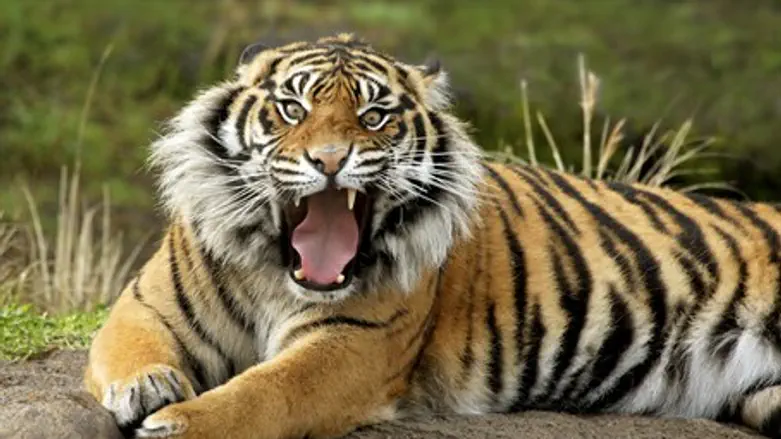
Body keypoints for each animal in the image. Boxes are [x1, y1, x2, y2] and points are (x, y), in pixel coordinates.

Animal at [84, 33, 781, 439]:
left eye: (373, 116)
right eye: (292, 109)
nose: (330, 160)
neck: (274, 270)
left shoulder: (352, 343)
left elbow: (262, 393)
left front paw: (176, 423)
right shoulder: (146, 306)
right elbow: (129, 347)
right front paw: (147, 387)